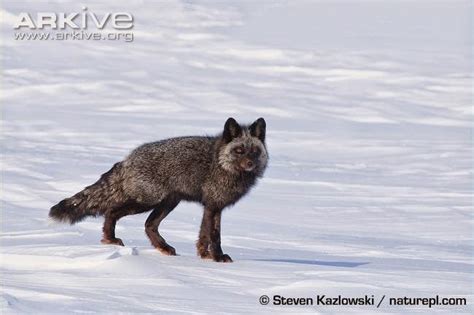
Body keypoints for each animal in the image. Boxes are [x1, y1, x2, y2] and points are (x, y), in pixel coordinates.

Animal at [51, 117, 270, 262]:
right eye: (239, 150)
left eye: (254, 151)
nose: (250, 164)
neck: (221, 163)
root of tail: (127, 160)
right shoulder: (214, 205)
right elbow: (214, 235)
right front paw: (217, 257)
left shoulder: (212, 206)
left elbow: (203, 235)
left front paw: (204, 256)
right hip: (149, 201)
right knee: (113, 211)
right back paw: (110, 239)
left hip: (168, 202)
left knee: (148, 225)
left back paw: (163, 248)